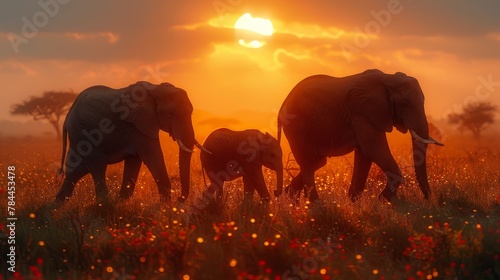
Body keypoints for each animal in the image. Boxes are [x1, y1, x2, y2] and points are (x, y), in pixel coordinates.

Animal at [56, 81, 209, 203]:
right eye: (170, 114)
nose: (179, 199)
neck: (155, 89)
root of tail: (67, 116)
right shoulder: (136, 125)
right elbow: (151, 156)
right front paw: (166, 207)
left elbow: (135, 160)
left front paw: (122, 202)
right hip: (82, 132)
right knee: (98, 165)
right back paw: (104, 204)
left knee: (77, 169)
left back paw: (57, 206)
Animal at [278, 69, 446, 202]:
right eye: (404, 104)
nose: (428, 199)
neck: (388, 78)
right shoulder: (363, 115)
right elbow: (373, 149)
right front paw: (382, 199)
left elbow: (365, 154)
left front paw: (354, 202)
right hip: (296, 124)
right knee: (309, 161)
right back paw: (316, 205)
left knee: (317, 161)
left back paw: (291, 197)